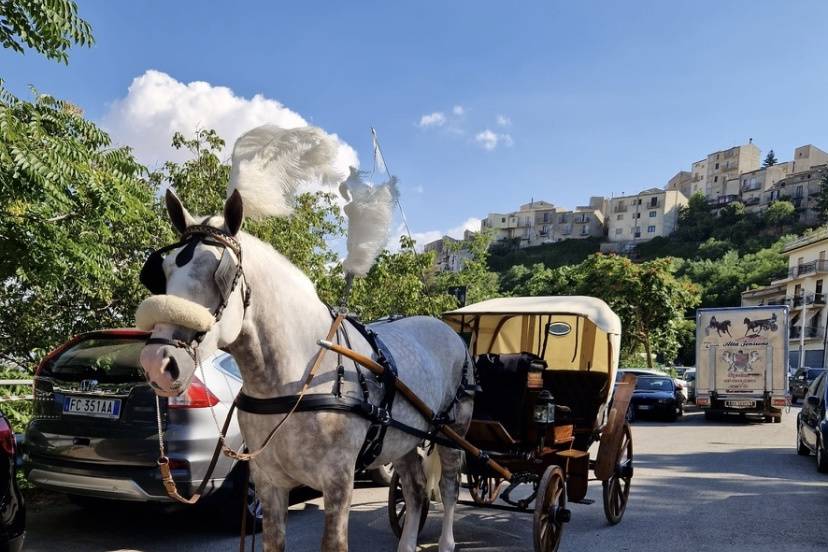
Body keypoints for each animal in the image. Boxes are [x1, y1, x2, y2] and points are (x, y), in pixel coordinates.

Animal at [136, 191, 472, 552]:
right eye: (165, 269)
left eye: (221, 272)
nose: (157, 361)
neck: (295, 379)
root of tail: (449, 331)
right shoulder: (268, 482)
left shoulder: (338, 481)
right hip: (404, 441)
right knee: (415, 490)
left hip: (452, 432)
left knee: (449, 488)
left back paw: (447, 542)